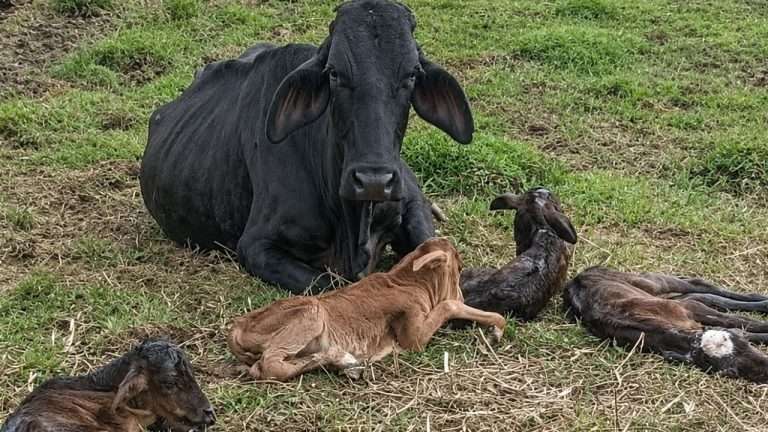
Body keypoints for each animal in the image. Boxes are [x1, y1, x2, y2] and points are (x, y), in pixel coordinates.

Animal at [139, 0, 474, 294]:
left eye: (412, 74)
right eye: (334, 73)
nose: (374, 181)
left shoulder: (412, 205)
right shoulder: (255, 246)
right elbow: (331, 287)